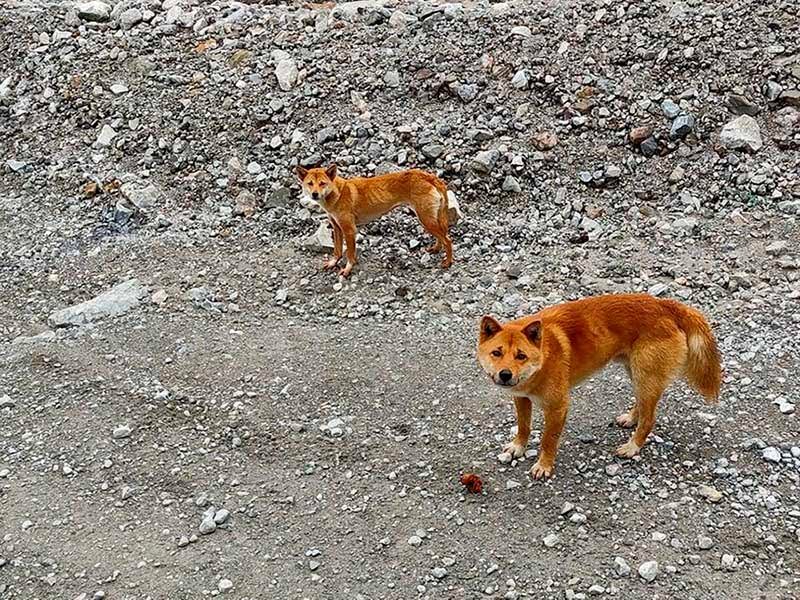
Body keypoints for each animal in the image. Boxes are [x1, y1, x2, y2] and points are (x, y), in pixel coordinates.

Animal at [296, 164, 456, 276]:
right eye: (310, 183)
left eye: (322, 183)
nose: (315, 194)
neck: (337, 194)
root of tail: (429, 176)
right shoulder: (336, 227)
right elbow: (337, 250)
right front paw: (333, 263)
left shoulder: (349, 230)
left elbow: (349, 254)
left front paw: (347, 270)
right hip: (430, 219)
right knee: (441, 238)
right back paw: (436, 249)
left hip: (426, 219)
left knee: (448, 240)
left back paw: (448, 262)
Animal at [478, 292, 720, 480]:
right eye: (497, 353)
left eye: (521, 356)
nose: (505, 375)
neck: (543, 358)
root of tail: (664, 305)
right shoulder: (521, 397)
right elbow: (524, 426)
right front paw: (518, 446)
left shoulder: (558, 408)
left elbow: (548, 440)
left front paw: (544, 465)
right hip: (636, 373)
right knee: (642, 407)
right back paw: (631, 418)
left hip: (646, 376)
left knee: (649, 419)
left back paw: (632, 447)